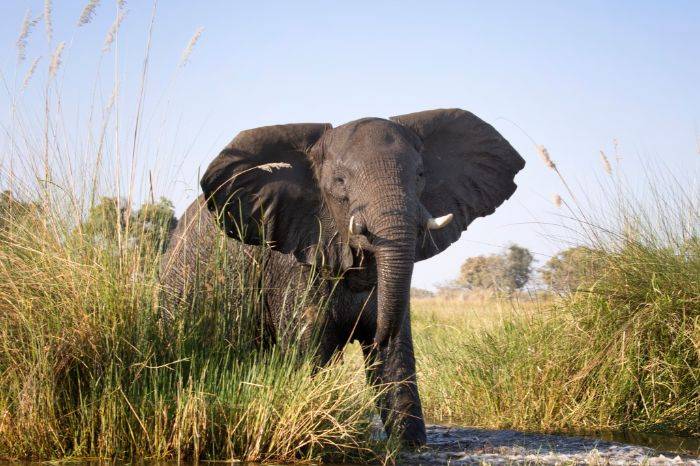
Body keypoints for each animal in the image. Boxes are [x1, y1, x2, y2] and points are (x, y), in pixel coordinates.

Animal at [161, 107, 524, 446]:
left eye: (421, 174)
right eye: (339, 181)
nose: (370, 335)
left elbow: (395, 357)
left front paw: (409, 446)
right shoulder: (293, 264)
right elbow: (307, 351)